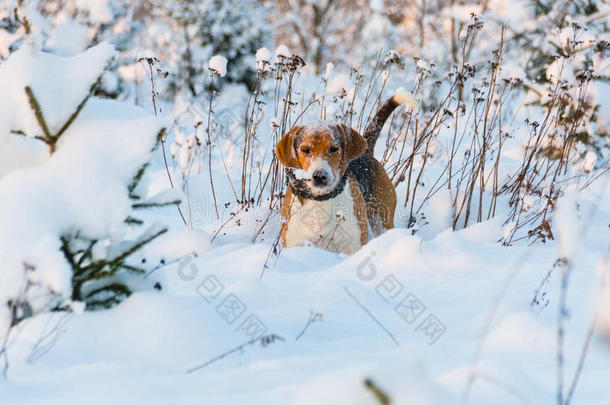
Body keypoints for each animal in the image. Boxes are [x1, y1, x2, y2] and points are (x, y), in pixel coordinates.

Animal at [274, 93, 408, 254]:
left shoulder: (353, 247)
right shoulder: (294, 243)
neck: (320, 199)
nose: (319, 176)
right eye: (305, 150)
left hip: (382, 220)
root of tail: (366, 152)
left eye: (334, 148)